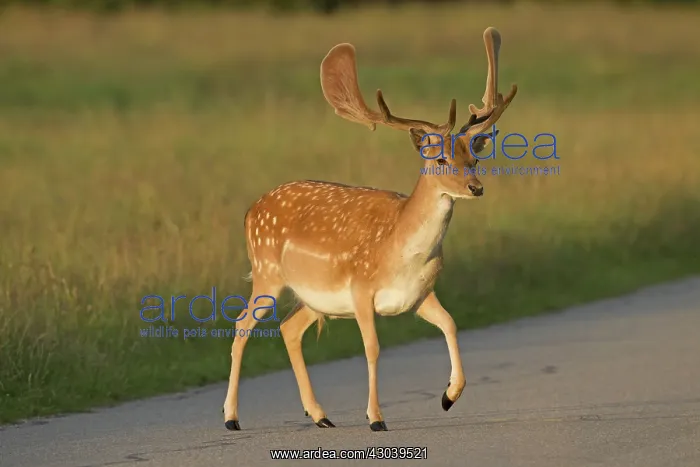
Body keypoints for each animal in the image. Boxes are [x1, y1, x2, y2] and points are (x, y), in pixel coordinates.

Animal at [222, 27, 517, 432]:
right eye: (441, 159)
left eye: (473, 158)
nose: (476, 188)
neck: (400, 249)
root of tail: (251, 210)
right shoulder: (360, 289)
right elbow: (373, 348)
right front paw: (376, 418)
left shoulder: (419, 293)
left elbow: (451, 324)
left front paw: (448, 396)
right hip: (267, 273)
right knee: (241, 326)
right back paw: (231, 418)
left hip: (312, 297)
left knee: (289, 328)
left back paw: (320, 416)